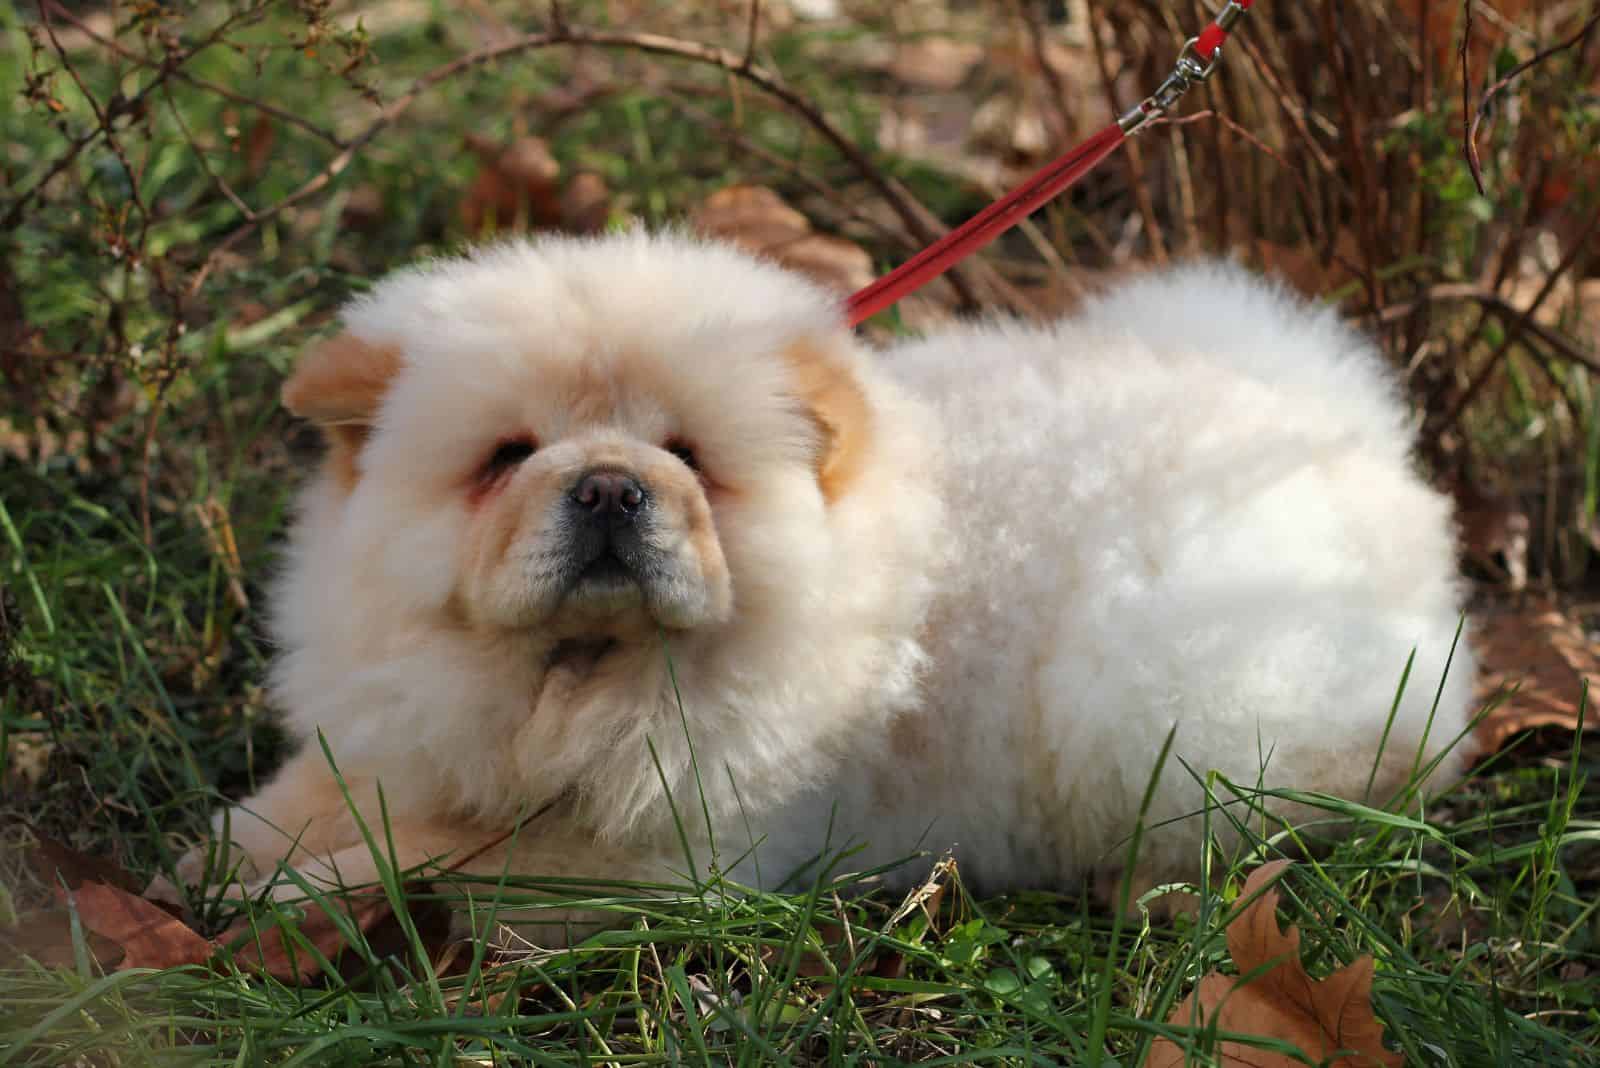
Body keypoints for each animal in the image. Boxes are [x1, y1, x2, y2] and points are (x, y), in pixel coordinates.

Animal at [172, 230, 1472, 927]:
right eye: (504, 458)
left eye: (691, 457)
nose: (607, 486)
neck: (576, 684)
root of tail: (1346, 434)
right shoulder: (419, 728)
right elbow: (338, 796)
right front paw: (226, 853)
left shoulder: (667, 863)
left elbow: (433, 862)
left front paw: (284, 896)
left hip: (1157, 683)